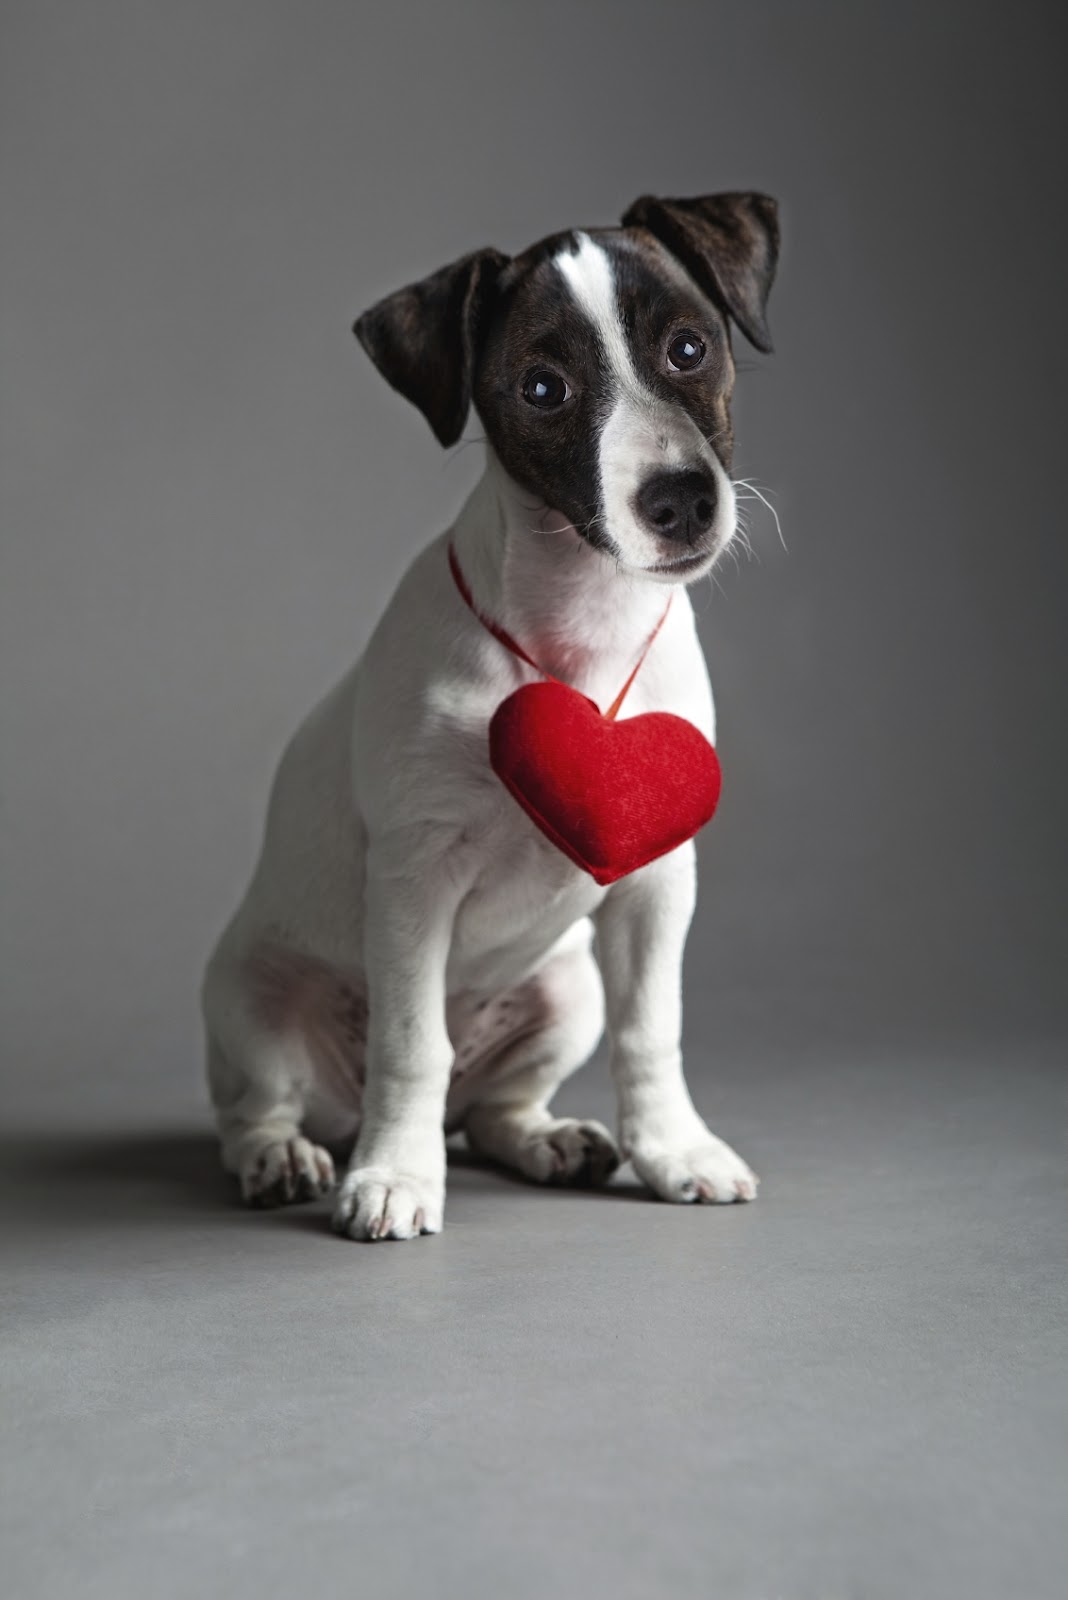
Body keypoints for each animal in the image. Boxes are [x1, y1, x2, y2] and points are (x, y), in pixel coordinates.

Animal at [204, 187, 780, 1235]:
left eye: (688, 348)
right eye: (543, 388)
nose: (681, 501)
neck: (576, 637)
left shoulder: (657, 880)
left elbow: (653, 1029)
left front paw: (675, 1150)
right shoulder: (413, 880)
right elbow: (410, 1044)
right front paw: (395, 1176)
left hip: (568, 986)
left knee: (493, 1108)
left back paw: (547, 1140)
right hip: (252, 997)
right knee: (264, 1106)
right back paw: (293, 1157)